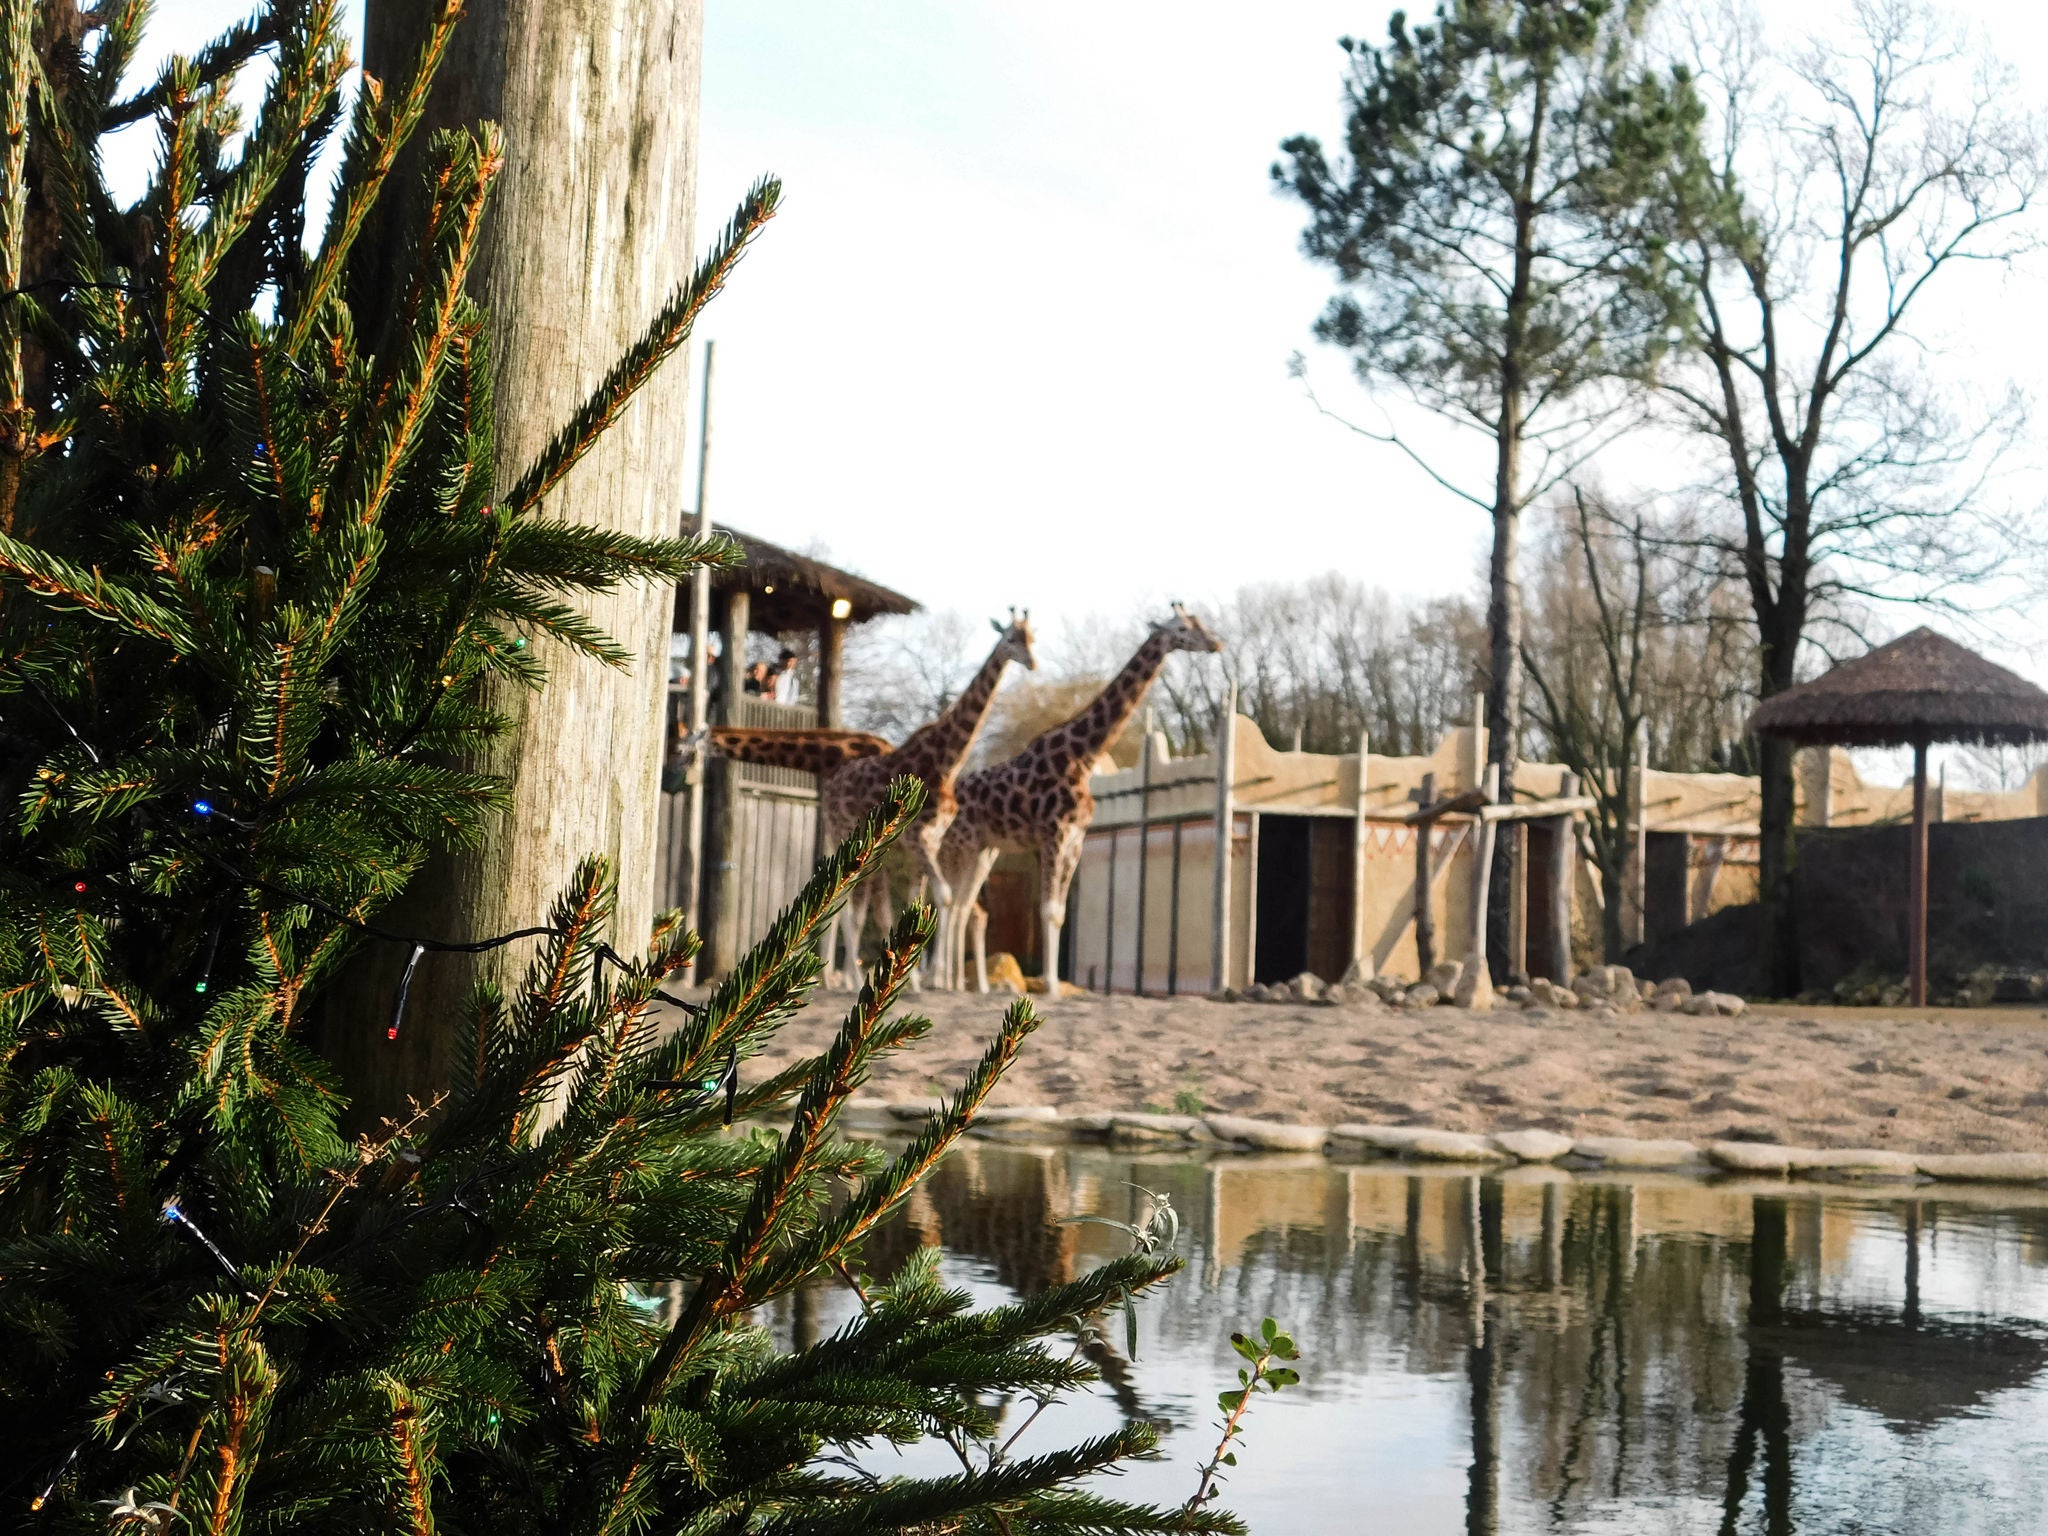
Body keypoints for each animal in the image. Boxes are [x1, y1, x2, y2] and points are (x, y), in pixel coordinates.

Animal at [708, 614, 1040, 987]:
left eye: (1032, 638)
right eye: (1011, 639)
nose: (1032, 662)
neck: (945, 761)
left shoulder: (927, 841)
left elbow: (920, 902)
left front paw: (920, 977)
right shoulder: (918, 839)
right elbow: (937, 898)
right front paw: (930, 978)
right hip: (846, 833)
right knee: (844, 897)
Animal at [937, 606, 1220, 991]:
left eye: (1199, 623)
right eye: (1181, 629)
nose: (1216, 643)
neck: (1082, 756)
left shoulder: (1075, 839)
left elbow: (1058, 915)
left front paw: (1053, 984)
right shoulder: (1052, 834)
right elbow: (1047, 910)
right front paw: (1051, 985)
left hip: (983, 850)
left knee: (963, 906)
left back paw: (958, 982)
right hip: (960, 845)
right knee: (950, 903)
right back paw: (941, 980)